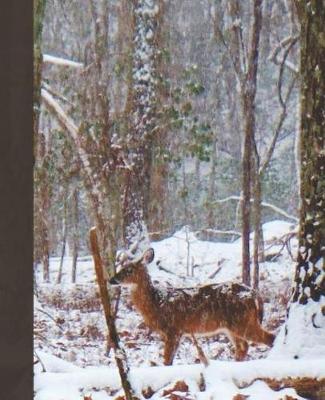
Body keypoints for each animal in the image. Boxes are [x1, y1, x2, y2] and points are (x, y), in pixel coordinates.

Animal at [109, 247, 274, 366]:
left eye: (129, 270)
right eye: (120, 267)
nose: (111, 279)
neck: (157, 302)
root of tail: (254, 294)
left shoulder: (173, 329)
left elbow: (167, 360)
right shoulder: (179, 332)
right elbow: (170, 359)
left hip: (242, 321)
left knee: (269, 338)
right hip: (232, 327)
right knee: (243, 346)